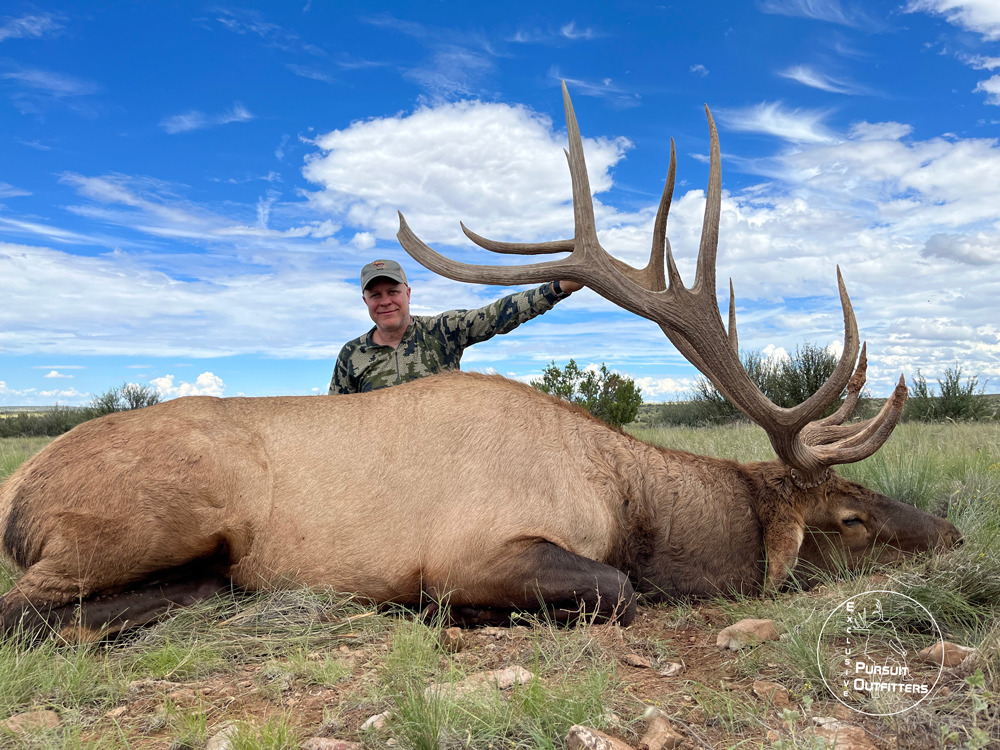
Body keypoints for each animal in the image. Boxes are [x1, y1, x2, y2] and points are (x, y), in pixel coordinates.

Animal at [0, 86, 960, 640]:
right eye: (851, 519)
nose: (952, 536)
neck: (629, 503)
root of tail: (17, 495)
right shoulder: (474, 549)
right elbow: (615, 590)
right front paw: (445, 613)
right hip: (150, 519)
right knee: (28, 613)